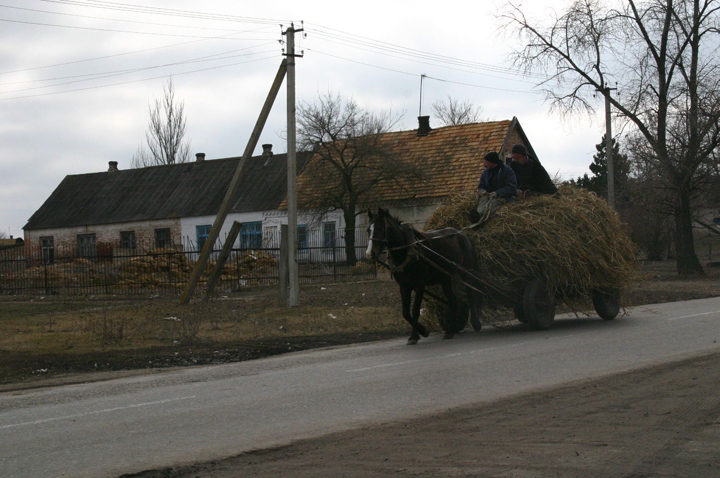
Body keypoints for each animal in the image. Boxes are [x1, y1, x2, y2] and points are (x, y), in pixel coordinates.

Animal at [366, 207, 482, 345]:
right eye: (368, 230)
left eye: (380, 229)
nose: (369, 254)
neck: (408, 251)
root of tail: (462, 234)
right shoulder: (404, 286)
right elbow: (405, 313)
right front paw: (422, 331)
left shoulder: (420, 285)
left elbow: (415, 311)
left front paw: (414, 336)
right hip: (445, 279)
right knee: (453, 302)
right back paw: (450, 329)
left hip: (465, 272)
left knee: (470, 294)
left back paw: (475, 323)